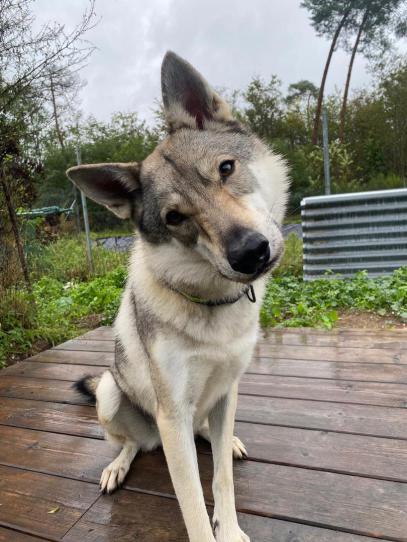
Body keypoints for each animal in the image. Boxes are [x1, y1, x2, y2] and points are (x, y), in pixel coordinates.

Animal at [67, 51, 289, 542]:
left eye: (226, 168)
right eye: (174, 217)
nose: (250, 252)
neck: (212, 303)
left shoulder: (227, 391)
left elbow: (221, 478)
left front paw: (230, 528)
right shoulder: (173, 418)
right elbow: (193, 510)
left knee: (211, 439)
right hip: (112, 394)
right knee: (133, 443)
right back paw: (117, 466)